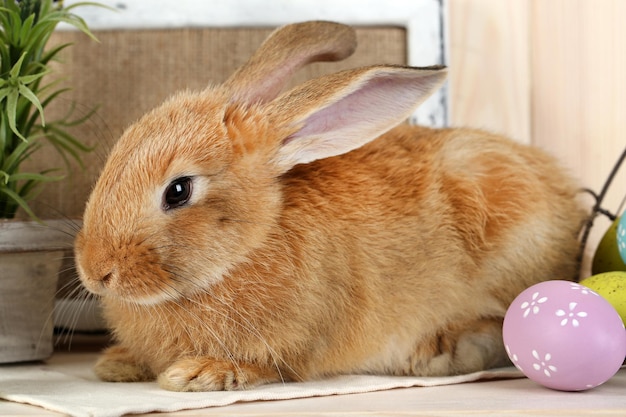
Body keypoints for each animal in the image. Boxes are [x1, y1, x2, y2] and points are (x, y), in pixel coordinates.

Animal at [74, 19, 584, 390]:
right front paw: (118, 363)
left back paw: (440, 352)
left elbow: (273, 366)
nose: (95, 272)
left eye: (178, 191)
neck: (247, 249)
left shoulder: (299, 342)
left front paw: (199, 373)